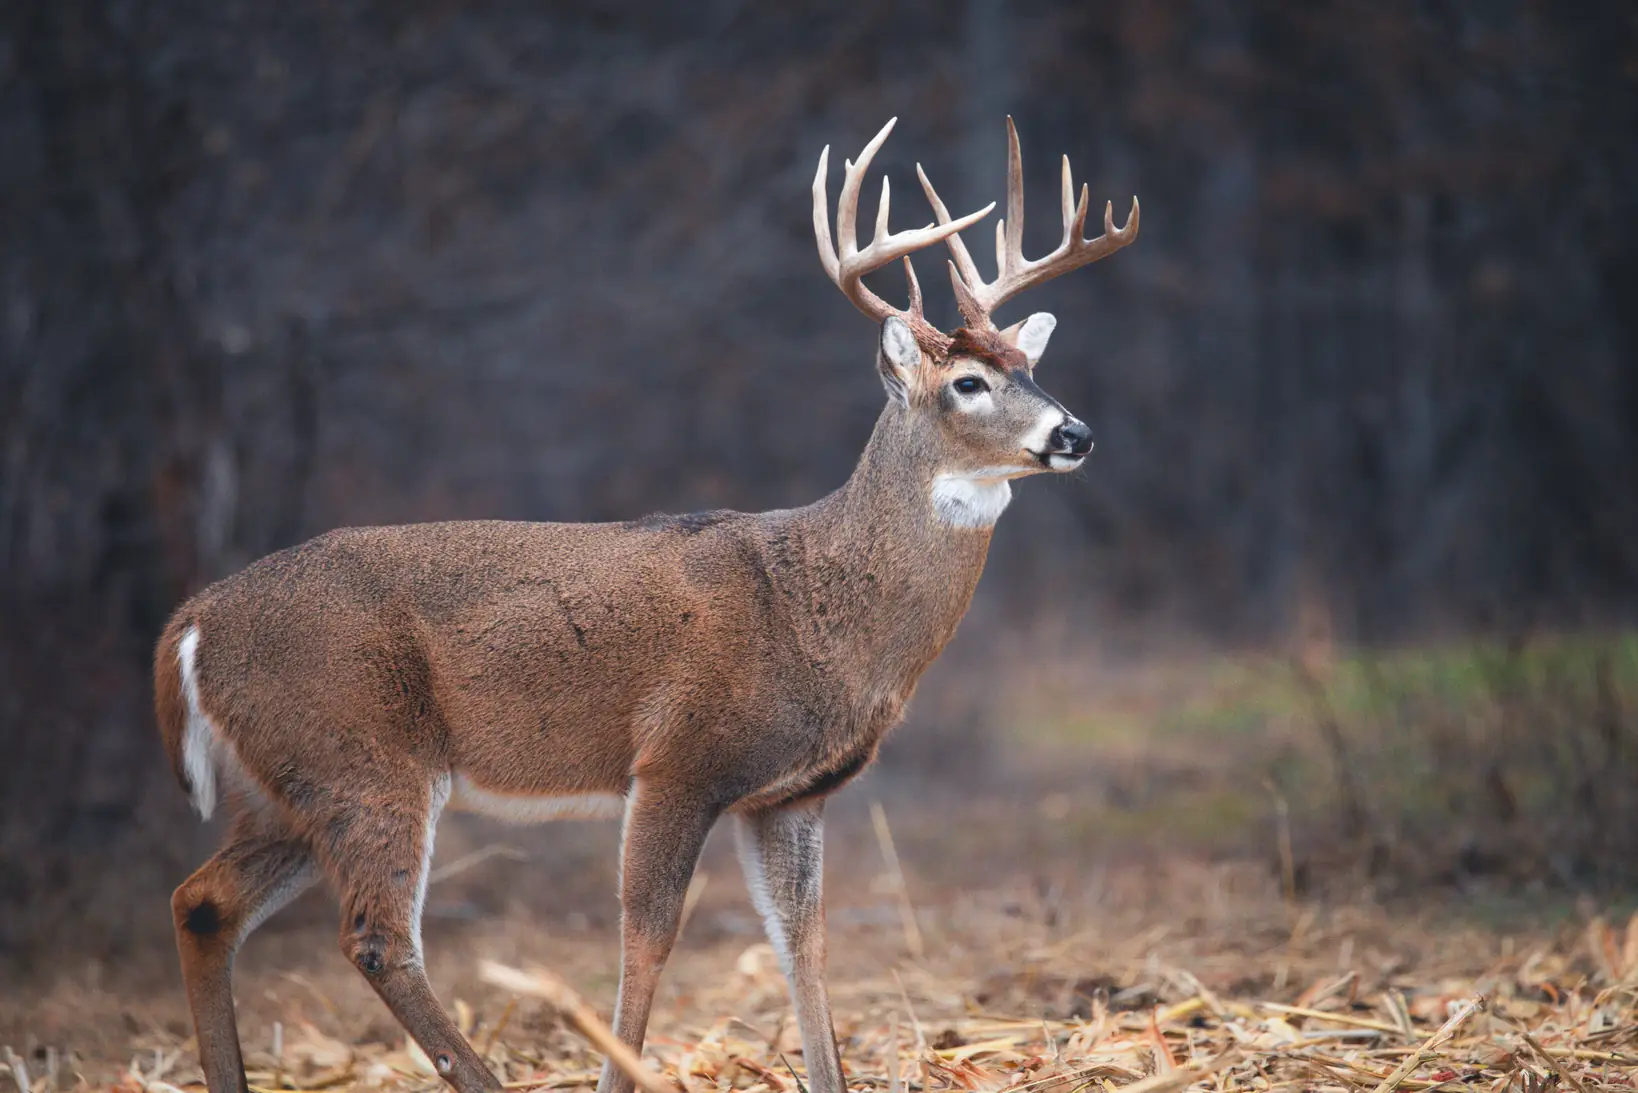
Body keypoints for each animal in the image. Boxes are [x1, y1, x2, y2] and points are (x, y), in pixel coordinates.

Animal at [153, 117, 1137, 1093]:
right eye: (968, 382)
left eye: (1029, 365)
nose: (1077, 432)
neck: (816, 608)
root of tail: (189, 625)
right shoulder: (676, 758)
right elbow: (648, 936)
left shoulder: (790, 794)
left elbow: (804, 945)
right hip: (362, 754)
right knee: (376, 937)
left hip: (291, 782)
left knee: (203, 900)